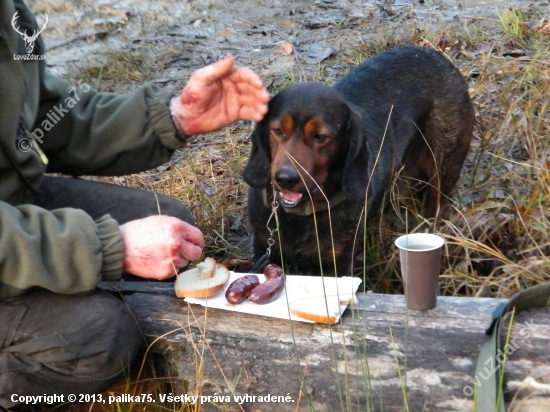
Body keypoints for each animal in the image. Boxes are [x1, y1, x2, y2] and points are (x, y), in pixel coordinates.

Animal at [244, 45, 476, 276]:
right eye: (278, 131)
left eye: (320, 136)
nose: (285, 179)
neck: (301, 214)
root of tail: (433, 53)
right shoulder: (265, 248)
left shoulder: (338, 262)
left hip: (443, 164)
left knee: (438, 204)